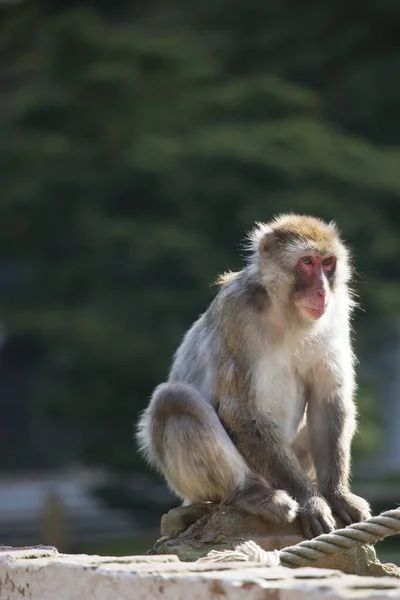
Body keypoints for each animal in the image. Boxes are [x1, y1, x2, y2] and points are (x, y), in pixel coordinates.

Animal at [138, 216, 372, 540]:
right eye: (307, 262)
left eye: (327, 263)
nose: (322, 291)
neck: (285, 312)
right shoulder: (237, 311)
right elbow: (241, 409)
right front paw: (310, 500)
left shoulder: (335, 313)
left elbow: (328, 400)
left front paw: (335, 493)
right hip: (189, 483)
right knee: (174, 399)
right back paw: (251, 493)